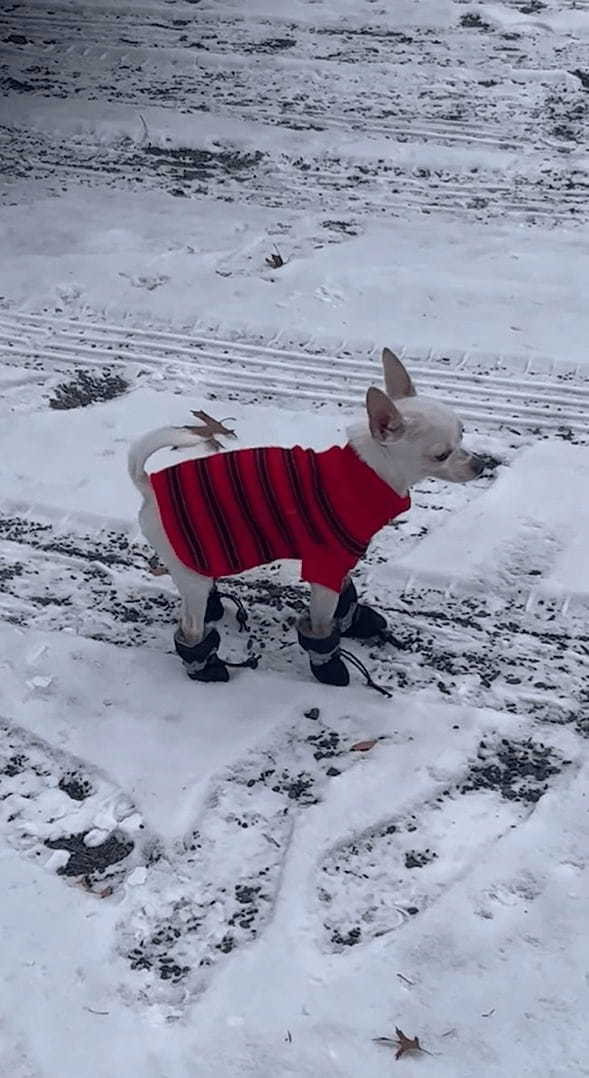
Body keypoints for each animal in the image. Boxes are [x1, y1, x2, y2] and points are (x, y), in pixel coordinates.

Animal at [127, 353, 481, 689]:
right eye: (441, 455)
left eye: (464, 433)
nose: (481, 464)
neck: (365, 473)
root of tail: (149, 485)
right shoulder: (325, 566)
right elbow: (323, 623)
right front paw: (328, 664)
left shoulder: (341, 561)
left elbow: (346, 593)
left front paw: (355, 621)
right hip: (193, 572)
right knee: (190, 625)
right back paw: (204, 666)